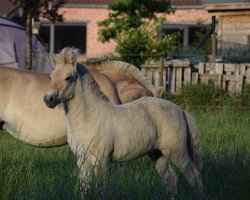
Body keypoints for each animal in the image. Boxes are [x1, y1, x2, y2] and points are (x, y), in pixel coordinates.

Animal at [43, 47, 203, 198]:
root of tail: (181, 110)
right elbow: (84, 189)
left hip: (177, 152)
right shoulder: (83, 161)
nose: (49, 99)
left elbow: (102, 190)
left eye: (68, 78)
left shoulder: (101, 161)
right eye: (51, 77)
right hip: (158, 155)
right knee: (171, 179)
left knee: (194, 176)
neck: (89, 119)